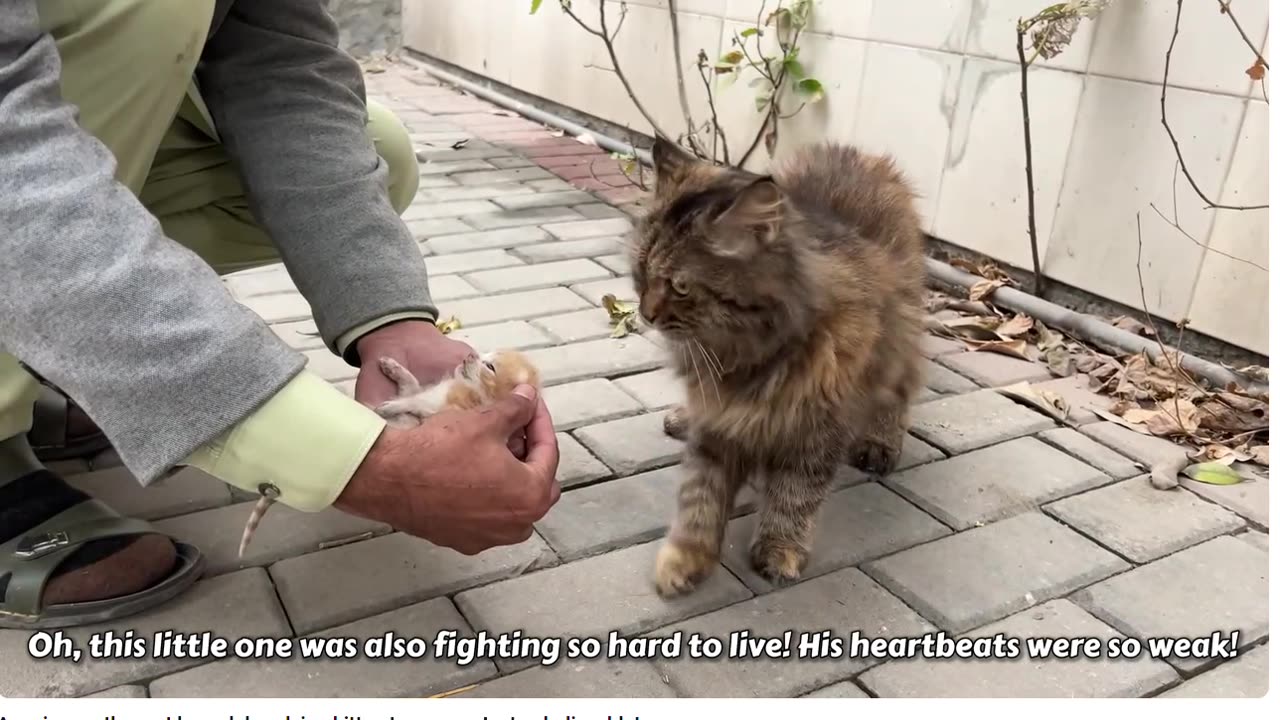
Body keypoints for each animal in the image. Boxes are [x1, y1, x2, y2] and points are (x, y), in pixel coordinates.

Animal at [637, 135, 926, 594]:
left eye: (680, 286)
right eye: (641, 271)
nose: (644, 313)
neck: (747, 358)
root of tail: (852, 151)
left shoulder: (818, 429)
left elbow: (795, 495)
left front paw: (779, 549)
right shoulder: (718, 421)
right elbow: (700, 497)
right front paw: (686, 558)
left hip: (902, 328)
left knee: (899, 387)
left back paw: (880, 441)